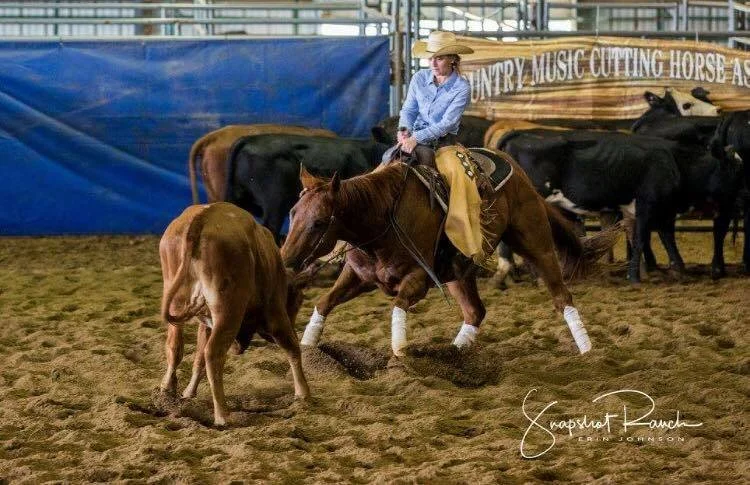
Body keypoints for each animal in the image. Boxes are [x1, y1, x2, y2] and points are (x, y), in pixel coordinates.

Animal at [159, 202, 310, 426]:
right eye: (299, 300)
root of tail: (201, 218)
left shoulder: (206, 324)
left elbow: (198, 359)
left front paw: (189, 393)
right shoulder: (275, 312)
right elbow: (292, 347)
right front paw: (303, 393)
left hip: (178, 304)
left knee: (176, 347)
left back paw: (167, 389)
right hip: (228, 310)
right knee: (213, 354)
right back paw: (222, 414)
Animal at [281, 151, 619, 358]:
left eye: (319, 222)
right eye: (293, 212)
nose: (286, 260)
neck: (383, 218)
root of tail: (522, 177)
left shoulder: (418, 278)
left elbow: (398, 305)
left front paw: (400, 352)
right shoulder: (358, 277)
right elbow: (324, 303)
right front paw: (307, 349)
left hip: (537, 244)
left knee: (562, 297)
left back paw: (586, 348)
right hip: (459, 271)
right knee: (475, 312)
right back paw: (455, 354)